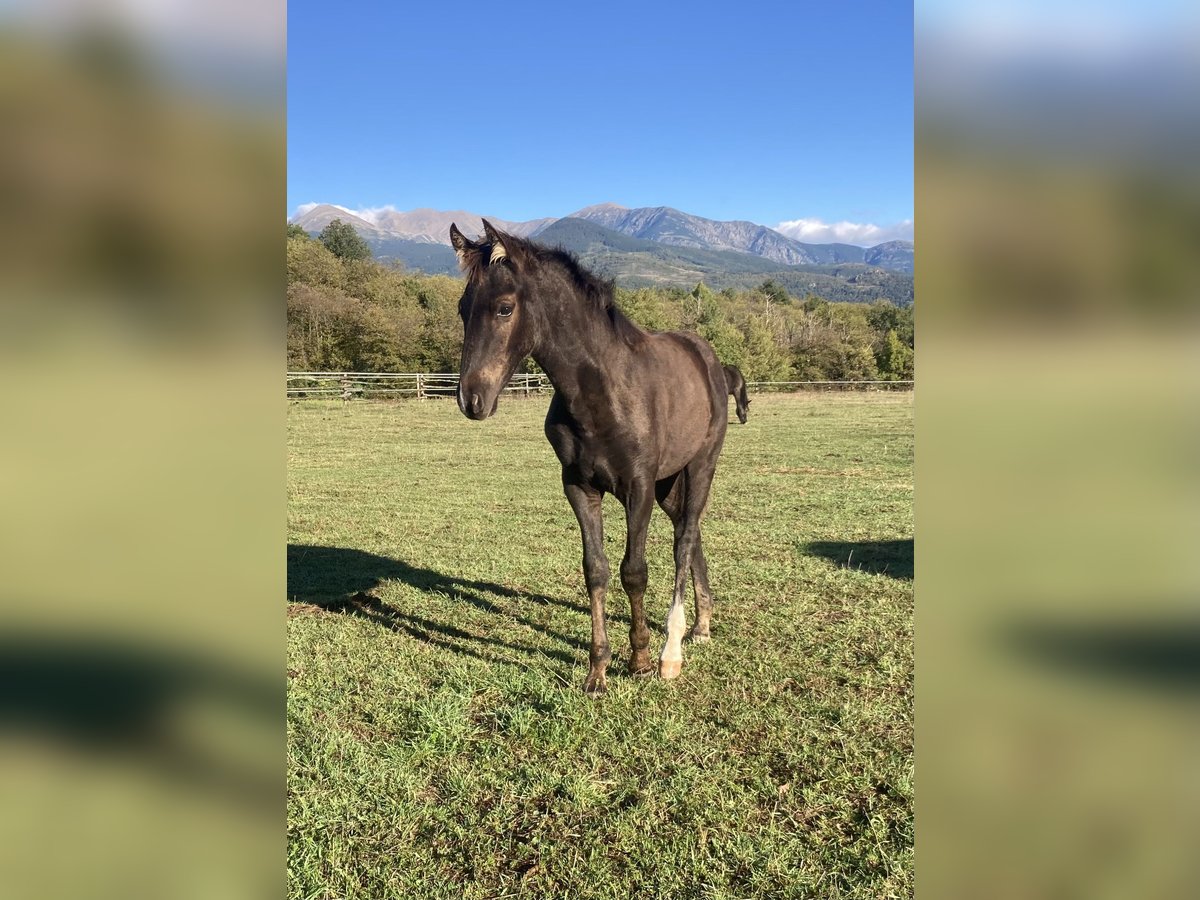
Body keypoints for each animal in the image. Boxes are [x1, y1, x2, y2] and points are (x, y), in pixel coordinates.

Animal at [451, 220, 724, 696]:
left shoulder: (637, 488)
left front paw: (640, 660)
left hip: (699, 466)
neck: (602, 391)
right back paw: (702, 624)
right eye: (463, 309)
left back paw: (672, 653)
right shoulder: (579, 486)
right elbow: (595, 570)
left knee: (685, 538)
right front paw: (597, 671)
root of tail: (709, 359)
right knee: (688, 535)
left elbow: (634, 571)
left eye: (504, 308)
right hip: (669, 482)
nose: (472, 400)